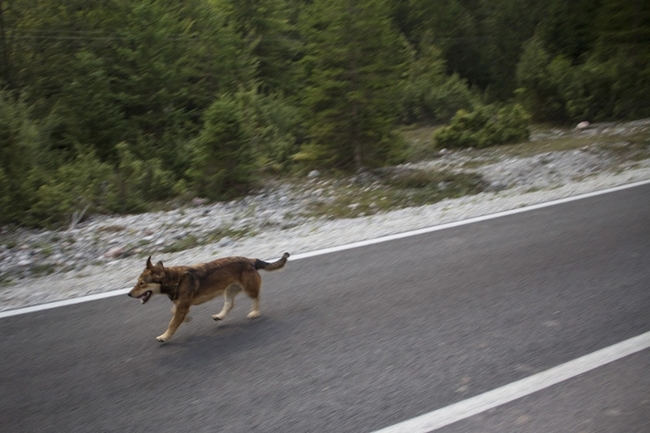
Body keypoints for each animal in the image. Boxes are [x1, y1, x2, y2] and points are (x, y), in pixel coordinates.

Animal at [127, 253, 288, 340]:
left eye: (141, 283)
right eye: (137, 282)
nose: (129, 294)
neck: (173, 279)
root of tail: (251, 260)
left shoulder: (182, 306)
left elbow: (172, 324)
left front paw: (164, 337)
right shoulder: (181, 305)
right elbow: (174, 312)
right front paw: (187, 319)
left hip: (248, 288)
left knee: (257, 297)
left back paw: (255, 312)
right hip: (229, 290)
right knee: (230, 304)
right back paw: (220, 316)